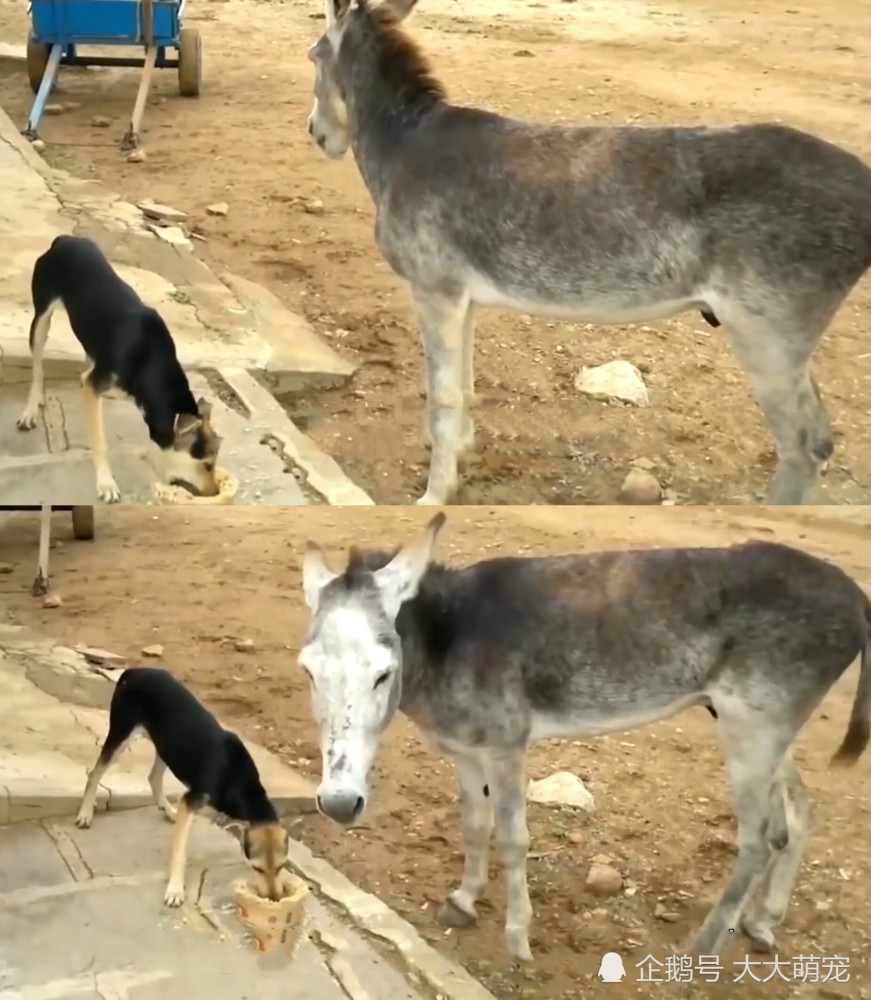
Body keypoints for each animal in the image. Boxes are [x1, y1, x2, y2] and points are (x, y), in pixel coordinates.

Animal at [15, 233, 221, 500]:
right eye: (207, 464)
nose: (216, 491)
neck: (149, 364)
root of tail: (65, 239)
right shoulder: (94, 384)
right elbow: (100, 440)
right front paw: (106, 483)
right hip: (41, 316)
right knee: (38, 369)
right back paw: (31, 409)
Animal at [76, 664, 292, 908]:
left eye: (282, 866)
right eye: (257, 868)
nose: (275, 899)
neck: (239, 782)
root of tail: (135, 670)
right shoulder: (192, 799)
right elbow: (180, 851)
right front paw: (175, 889)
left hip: (167, 745)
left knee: (153, 777)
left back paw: (168, 810)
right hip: (121, 732)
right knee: (94, 773)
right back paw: (85, 813)